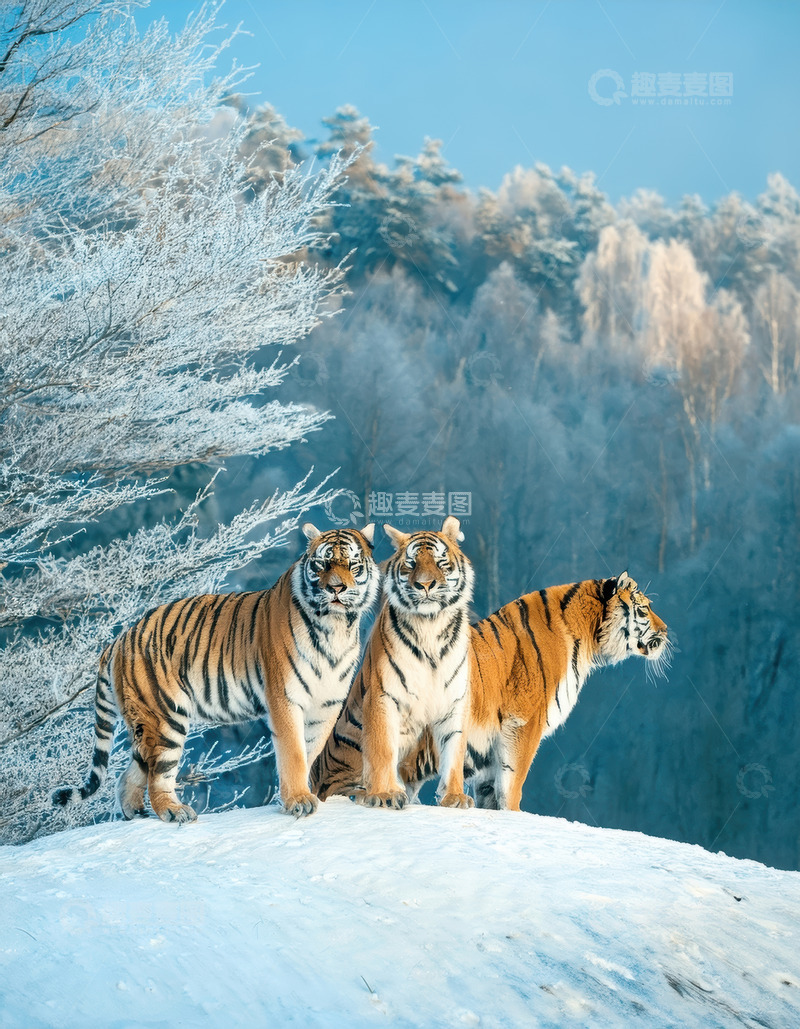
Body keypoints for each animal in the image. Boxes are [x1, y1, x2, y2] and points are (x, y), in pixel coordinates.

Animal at [53, 523, 380, 823]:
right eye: (322, 564)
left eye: (352, 564)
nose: (336, 589)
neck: (336, 627)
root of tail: (120, 638)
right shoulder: (285, 699)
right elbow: (294, 753)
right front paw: (298, 801)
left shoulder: (326, 704)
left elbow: (309, 750)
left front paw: (303, 796)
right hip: (164, 718)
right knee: (158, 774)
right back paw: (174, 812)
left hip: (146, 724)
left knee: (130, 773)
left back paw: (136, 814)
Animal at [311, 515, 475, 810]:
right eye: (411, 564)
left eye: (440, 562)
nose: (424, 585)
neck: (431, 626)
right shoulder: (383, 695)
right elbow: (382, 749)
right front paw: (384, 794)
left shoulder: (455, 700)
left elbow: (454, 750)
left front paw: (455, 797)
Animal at [398, 572, 670, 810]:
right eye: (643, 609)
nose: (666, 630)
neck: (587, 635)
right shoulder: (524, 721)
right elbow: (512, 781)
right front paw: (514, 813)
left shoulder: (488, 745)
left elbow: (490, 790)